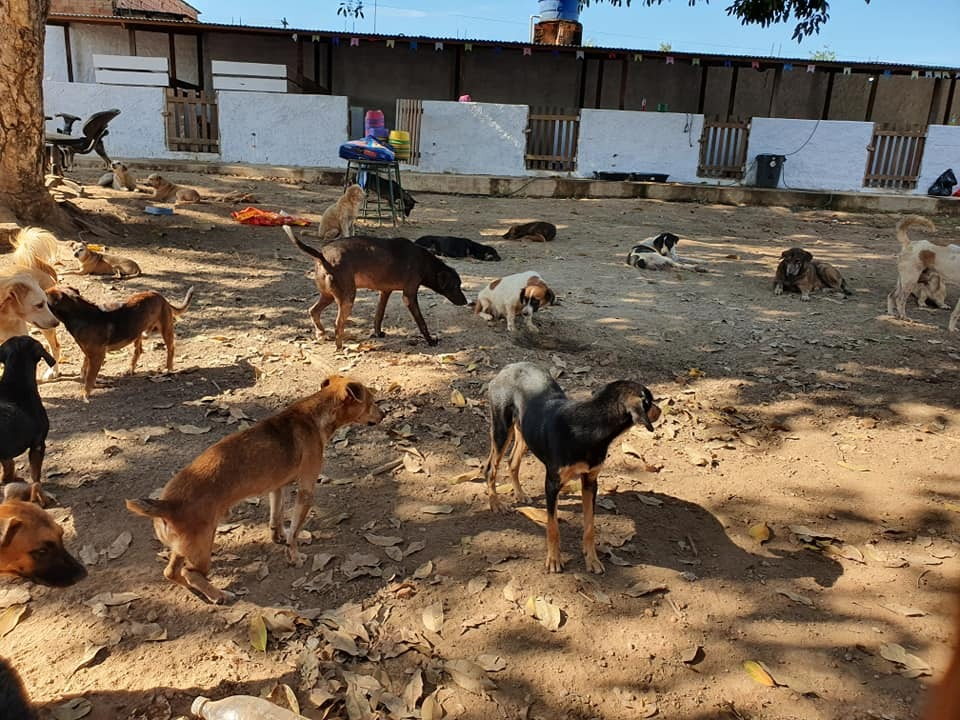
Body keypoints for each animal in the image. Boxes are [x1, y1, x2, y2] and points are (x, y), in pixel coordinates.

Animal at [46, 286, 193, 400]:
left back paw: (169, 368)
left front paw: (85, 394)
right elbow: (85, 369)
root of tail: (160, 296)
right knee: (138, 350)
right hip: (137, 332)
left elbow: (90, 377)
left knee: (171, 348)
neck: (80, 313)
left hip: (165, 329)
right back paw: (130, 369)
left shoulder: (97, 356)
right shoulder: (89, 353)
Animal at [125, 374, 384, 604]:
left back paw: (196, 590)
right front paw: (294, 555)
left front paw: (278, 537)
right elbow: (295, 531)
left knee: (171, 573)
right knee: (191, 572)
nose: (385, 413)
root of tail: (167, 504)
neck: (314, 415)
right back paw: (218, 594)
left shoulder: (277, 487)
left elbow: (277, 518)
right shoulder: (306, 490)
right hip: (203, 544)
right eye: (372, 401)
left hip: (184, 546)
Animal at [282, 225, 468, 348]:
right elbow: (422, 322)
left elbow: (379, 315)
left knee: (313, 311)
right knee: (337, 324)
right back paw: (341, 348)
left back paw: (321, 333)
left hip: (328, 296)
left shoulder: (385, 292)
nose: (466, 302)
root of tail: (322, 256)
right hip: (347, 298)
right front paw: (430, 340)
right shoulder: (409, 296)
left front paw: (378, 333)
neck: (425, 262)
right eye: (456, 285)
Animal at [484, 362, 664, 576]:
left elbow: (590, 527)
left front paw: (592, 560)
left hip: (525, 432)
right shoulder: (552, 484)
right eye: (649, 401)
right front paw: (554, 560)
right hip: (502, 430)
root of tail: (508, 367)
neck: (587, 427)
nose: (661, 410)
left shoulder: (590, 482)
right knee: (490, 468)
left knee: (512, 462)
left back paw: (520, 494)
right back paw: (495, 503)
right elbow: (553, 527)